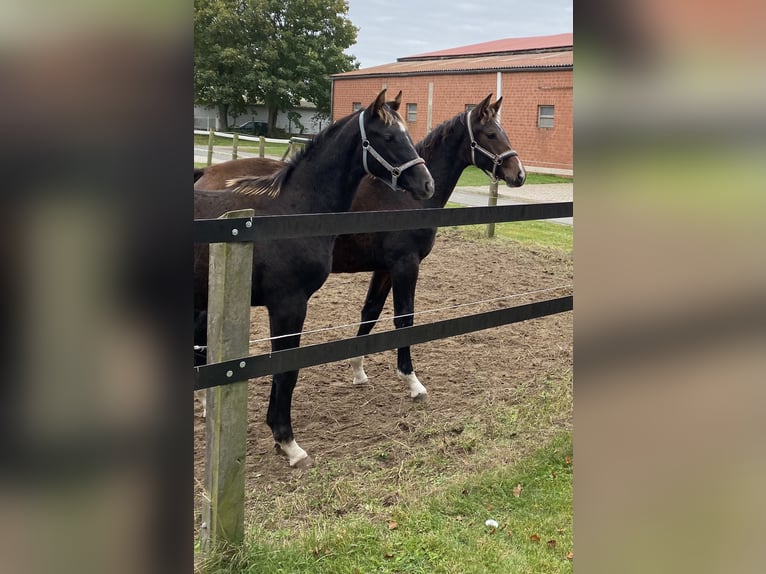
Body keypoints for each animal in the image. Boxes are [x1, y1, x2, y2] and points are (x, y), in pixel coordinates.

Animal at [195, 90, 436, 468]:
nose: (426, 185)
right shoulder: (288, 305)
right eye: (388, 137)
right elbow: (286, 370)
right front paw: (288, 442)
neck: (292, 210)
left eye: (407, 134)